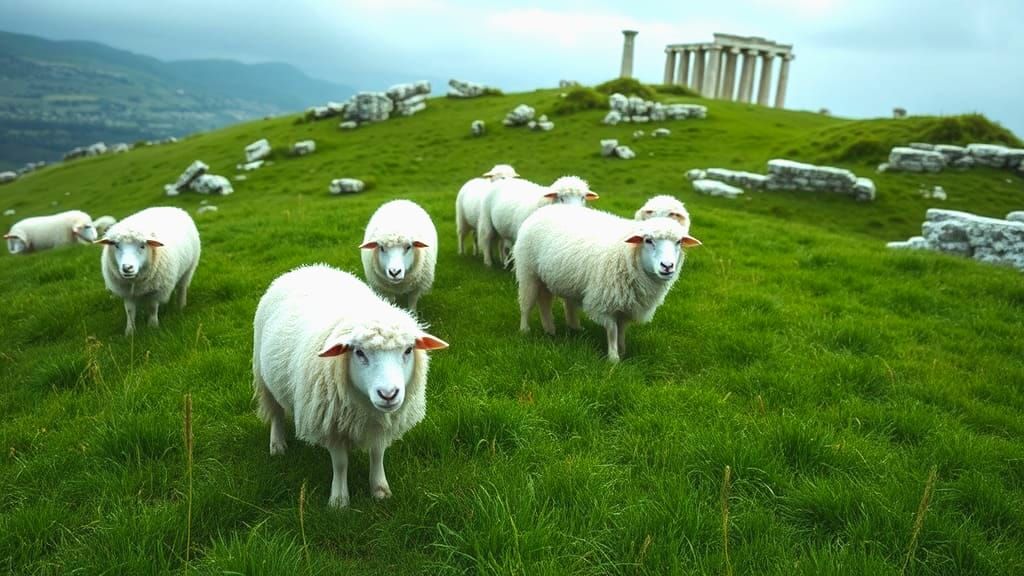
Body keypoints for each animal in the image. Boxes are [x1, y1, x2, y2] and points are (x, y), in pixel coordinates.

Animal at [98, 206, 201, 336]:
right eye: (116, 245)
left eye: (142, 246)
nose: (127, 267)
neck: (134, 281)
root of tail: (172, 207)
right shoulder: (126, 292)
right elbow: (129, 311)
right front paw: (130, 331)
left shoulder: (156, 290)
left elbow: (152, 308)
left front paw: (152, 327)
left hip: (189, 268)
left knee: (182, 288)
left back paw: (181, 306)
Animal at [252, 264, 448, 508]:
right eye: (359, 352)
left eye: (408, 350)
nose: (388, 394)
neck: (364, 406)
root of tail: (306, 267)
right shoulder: (331, 424)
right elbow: (340, 463)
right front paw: (339, 500)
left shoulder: (381, 423)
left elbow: (377, 453)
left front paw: (380, 489)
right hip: (264, 376)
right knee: (276, 413)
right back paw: (277, 445)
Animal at [514, 204, 701, 363]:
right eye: (648, 240)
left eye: (679, 242)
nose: (667, 266)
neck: (627, 254)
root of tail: (544, 209)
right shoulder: (604, 301)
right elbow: (612, 330)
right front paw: (613, 358)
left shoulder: (628, 305)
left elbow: (622, 329)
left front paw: (623, 350)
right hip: (528, 272)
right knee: (527, 304)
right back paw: (525, 330)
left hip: (555, 278)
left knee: (547, 302)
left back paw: (556, 329)